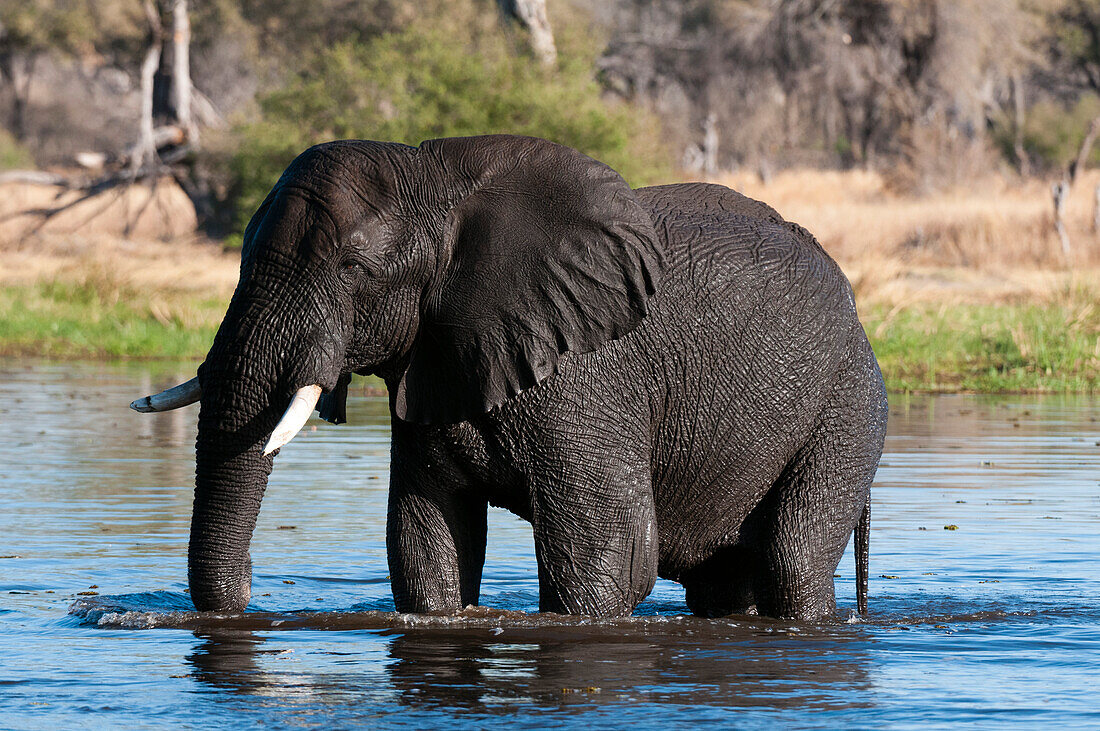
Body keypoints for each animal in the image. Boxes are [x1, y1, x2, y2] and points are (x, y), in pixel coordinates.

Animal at [133, 134, 888, 619]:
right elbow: (426, 542)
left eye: (353, 268)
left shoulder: (588, 376)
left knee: (792, 559)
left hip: (848, 405)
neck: (438, 183)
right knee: (725, 583)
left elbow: (609, 552)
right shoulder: (434, 363)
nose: (247, 600)